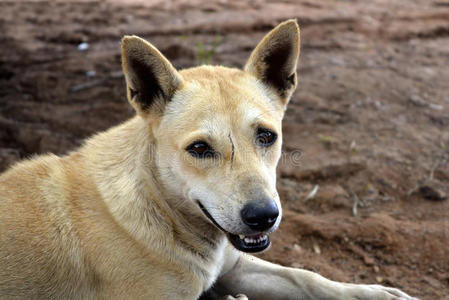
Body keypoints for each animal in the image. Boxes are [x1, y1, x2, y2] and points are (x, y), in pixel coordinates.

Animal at [0, 19, 416, 298]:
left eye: (267, 136)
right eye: (199, 149)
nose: (264, 216)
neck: (160, 204)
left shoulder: (236, 262)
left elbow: (307, 277)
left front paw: (374, 293)